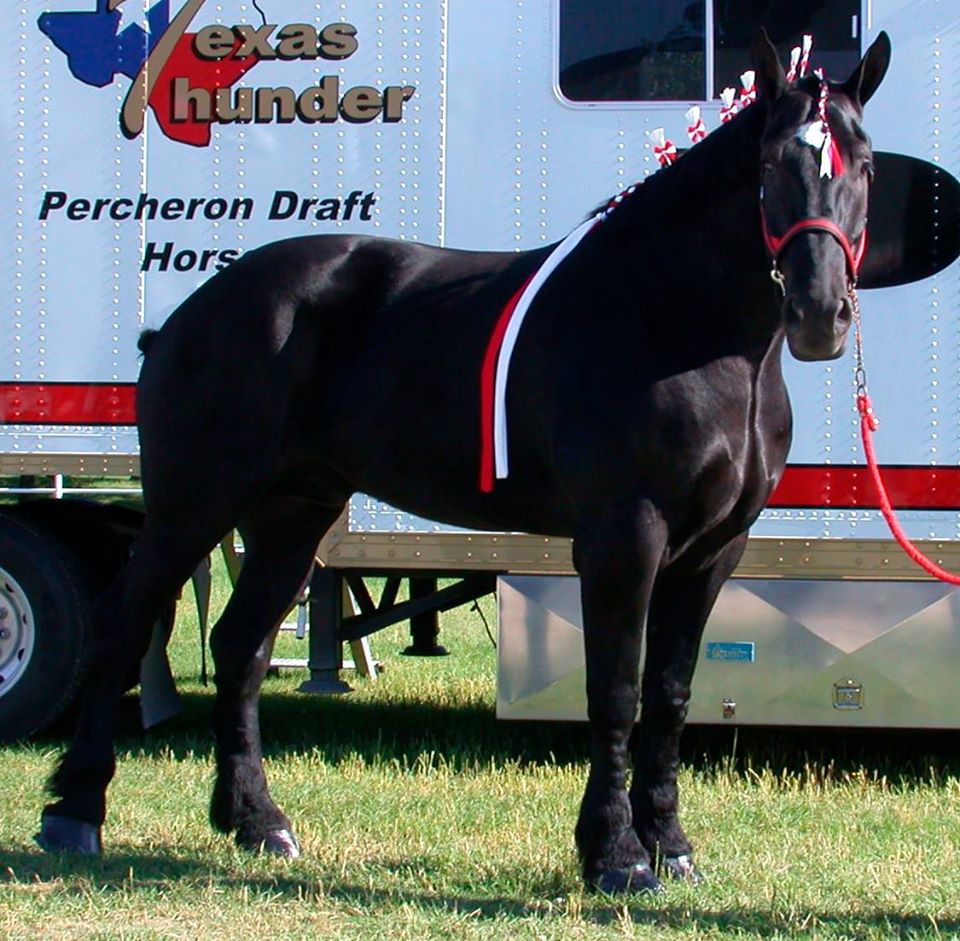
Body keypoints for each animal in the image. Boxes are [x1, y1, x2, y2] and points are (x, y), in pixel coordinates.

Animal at [37, 31, 892, 896]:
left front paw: (670, 845)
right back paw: (74, 813)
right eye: (770, 164)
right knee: (122, 624)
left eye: (865, 165)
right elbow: (616, 689)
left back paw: (257, 821)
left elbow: (672, 692)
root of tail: (189, 314)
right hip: (192, 504)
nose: (821, 315)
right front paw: (615, 855)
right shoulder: (624, 540)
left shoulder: (714, 551)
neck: (673, 322)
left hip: (292, 514)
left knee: (240, 648)